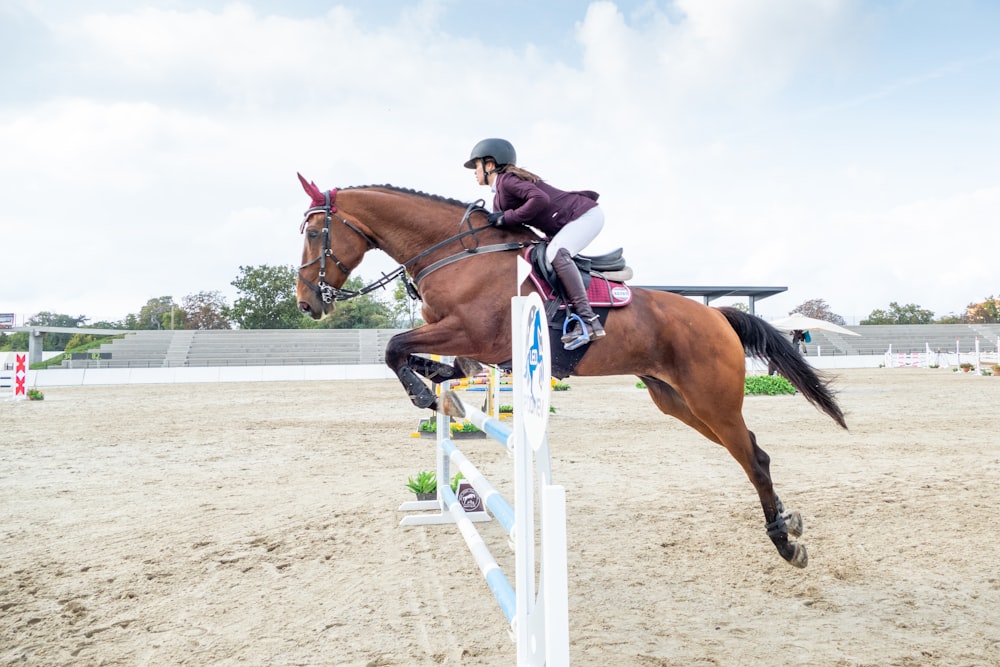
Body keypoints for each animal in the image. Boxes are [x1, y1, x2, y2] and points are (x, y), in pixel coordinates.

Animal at [292, 176, 848, 568]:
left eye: (316, 232)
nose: (306, 303)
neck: (456, 253)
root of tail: (717, 314)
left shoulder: (476, 334)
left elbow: (394, 348)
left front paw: (425, 394)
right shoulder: (464, 340)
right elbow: (426, 357)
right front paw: (438, 382)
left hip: (712, 400)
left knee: (754, 459)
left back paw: (785, 543)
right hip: (679, 402)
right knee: (752, 450)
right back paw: (789, 521)